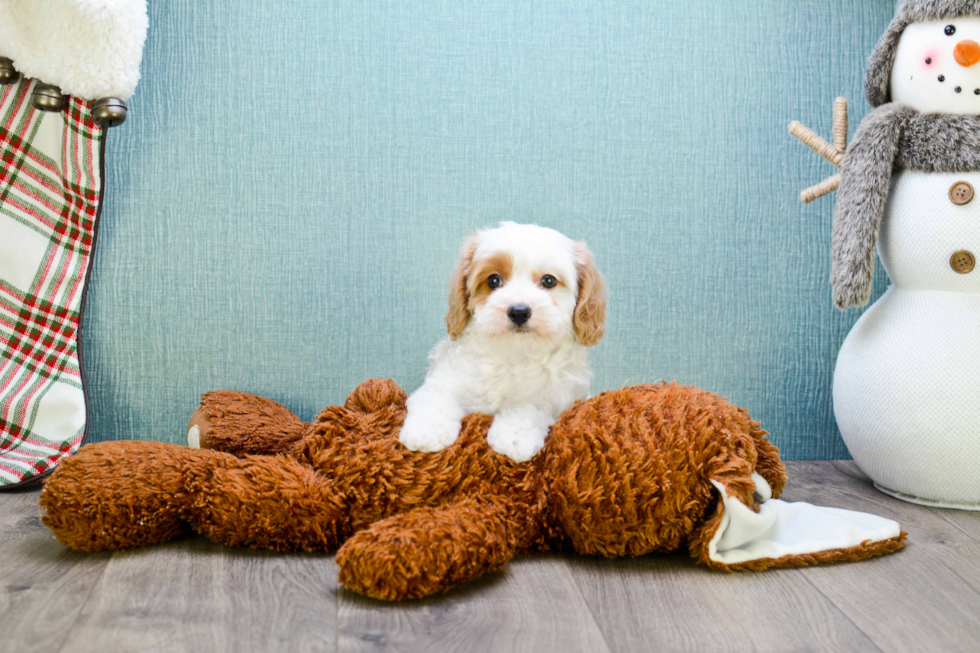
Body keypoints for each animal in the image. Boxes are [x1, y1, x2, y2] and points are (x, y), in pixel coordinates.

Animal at [398, 222, 604, 460]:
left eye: (549, 280)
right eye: (493, 280)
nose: (519, 311)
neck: (512, 351)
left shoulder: (555, 398)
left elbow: (529, 408)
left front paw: (514, 438)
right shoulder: (445, 378)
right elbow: (435, 398)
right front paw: (426, 431)